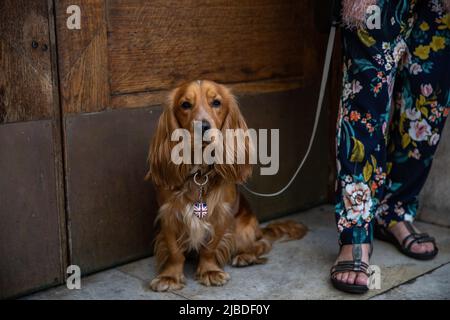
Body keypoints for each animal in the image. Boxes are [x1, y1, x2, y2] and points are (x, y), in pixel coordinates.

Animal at [146, 80, 308, 292]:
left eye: (216, 102)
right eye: (185, 105)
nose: (203, 126)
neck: (199, 173)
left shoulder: (221, 214)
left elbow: (210, 248)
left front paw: (209, 271)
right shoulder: (169, 214)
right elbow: (174, 251)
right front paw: (170, 276)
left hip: (244, 230)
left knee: (261, 243)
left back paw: (246, 256)